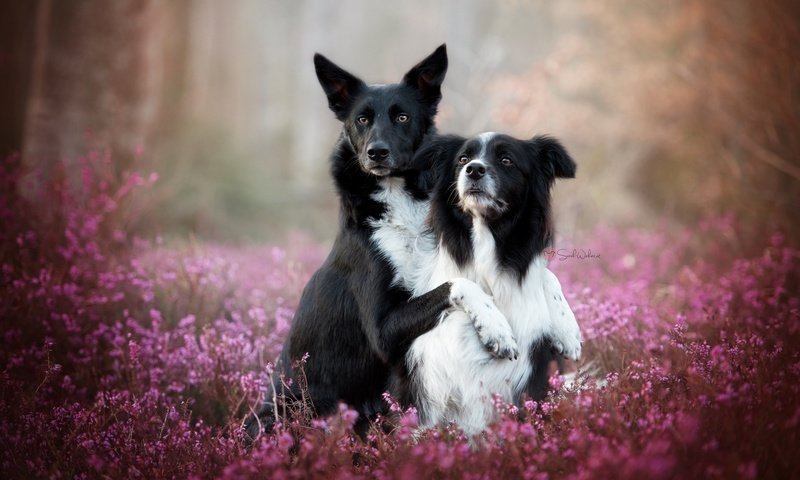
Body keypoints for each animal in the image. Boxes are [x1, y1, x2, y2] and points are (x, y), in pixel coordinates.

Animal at [247, 46, 516, 438]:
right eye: (361, 119)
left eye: (402, 116)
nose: (377, 152)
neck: (397, 201)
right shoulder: (383, 331)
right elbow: (458, 284)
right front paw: (497, 329)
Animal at [396, 131, 584, 436]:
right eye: (462, 159)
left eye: (506, 160)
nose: (474, 169)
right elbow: (460, 283)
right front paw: (497, 330)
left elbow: (545, 274)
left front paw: (568, 330)